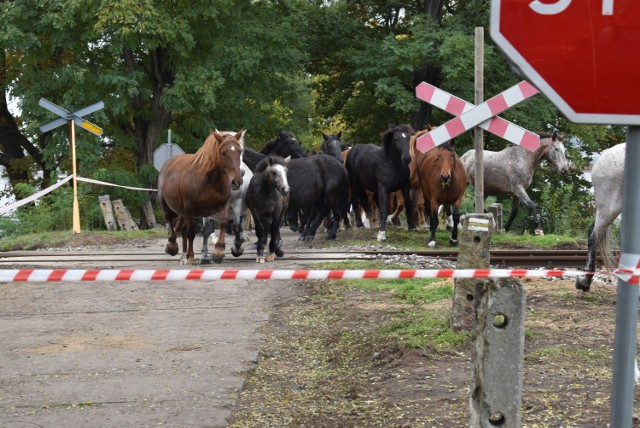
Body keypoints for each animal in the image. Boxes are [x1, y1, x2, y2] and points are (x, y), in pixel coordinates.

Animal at [156, 130, 244, 264]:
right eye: (223, 152)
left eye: (239, 151)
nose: (236, 181)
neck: (210, 180)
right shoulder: (189, 209)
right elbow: (191, 232)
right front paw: (191, 255)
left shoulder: (223, 204)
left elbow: (223, 223)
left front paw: (218, 252)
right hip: (166, 205)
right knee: (170, 220)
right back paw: (172, 246)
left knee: (181, 229)